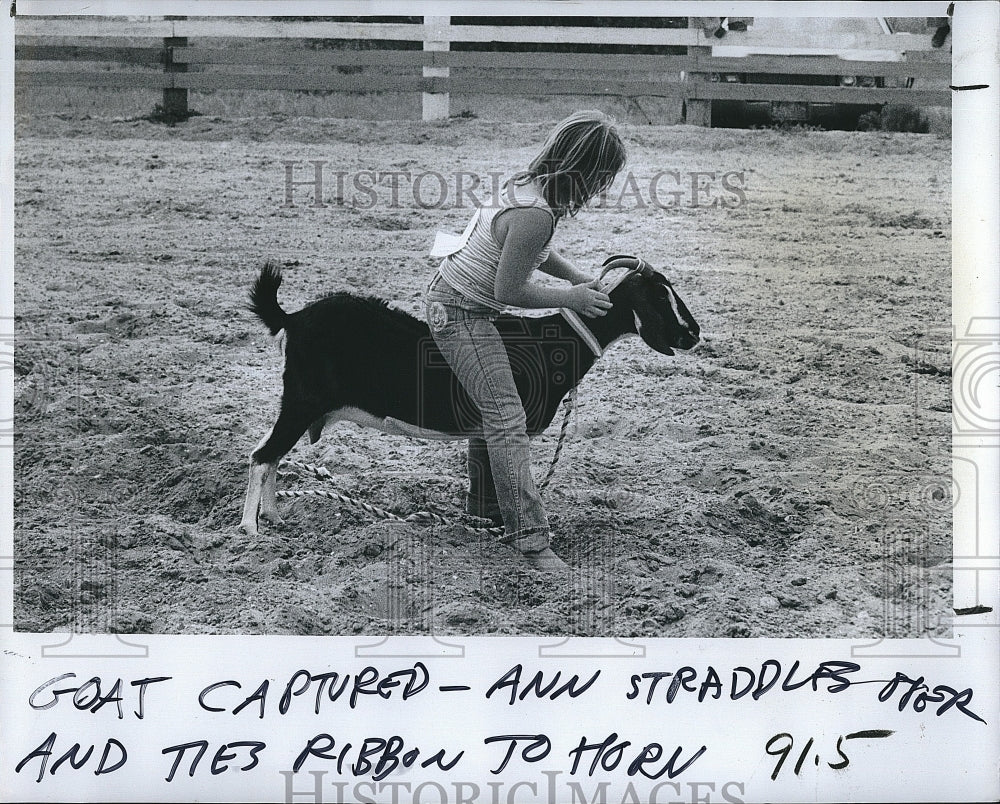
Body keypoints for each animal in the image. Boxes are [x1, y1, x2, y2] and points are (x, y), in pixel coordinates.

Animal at [238, 256, 700, 532]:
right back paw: (251, 529)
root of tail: (293, 317)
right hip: (302, 402)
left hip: (298, 404)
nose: (693, 334)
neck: (554, 340)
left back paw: (274, 516)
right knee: (263, 455)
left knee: (270, 454)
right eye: (660, 298)